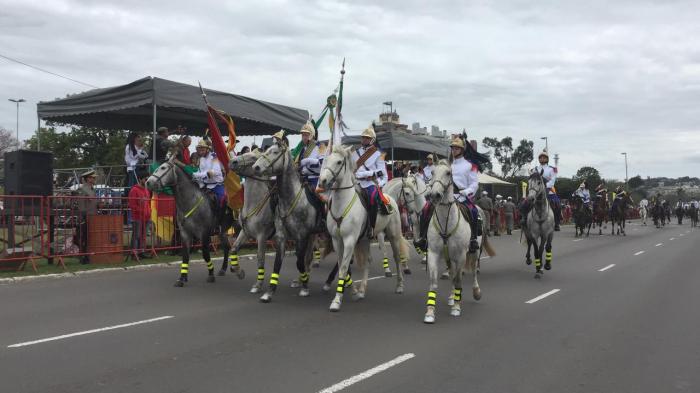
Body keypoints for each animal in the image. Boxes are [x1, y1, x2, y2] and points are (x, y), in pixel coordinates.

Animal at [146, 155, 239, 286]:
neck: (190, 201)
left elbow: (205, 254)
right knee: (227, 247)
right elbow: (185, 256)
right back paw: (223, 269)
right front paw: (182, 278)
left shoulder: (204, 234)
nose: (148, 182)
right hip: (223, 231)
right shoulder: (185, 233)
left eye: (163, 168)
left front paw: (211, 274)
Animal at [228, 150, 286, 294]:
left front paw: (258, 285)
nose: (232, 162)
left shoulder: (261, 236)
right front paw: (239, 272)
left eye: (253, 157)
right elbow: (233, 249)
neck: (254, 202)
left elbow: (260, 259)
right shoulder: (245, 232)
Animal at [318, 145, 410, 310]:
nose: (322, 181)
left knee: (396, 257)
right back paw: (362, 290)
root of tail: (390, 199)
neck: (342, 205)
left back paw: (399, 286)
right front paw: (353, 291)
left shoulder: (349, 240)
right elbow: (342, 266)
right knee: (367, 261)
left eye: (339, 162)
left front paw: (337, 300)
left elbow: (343, 267)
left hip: (392, 235)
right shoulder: (337, 240)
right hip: (366, 239)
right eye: (326, 160)